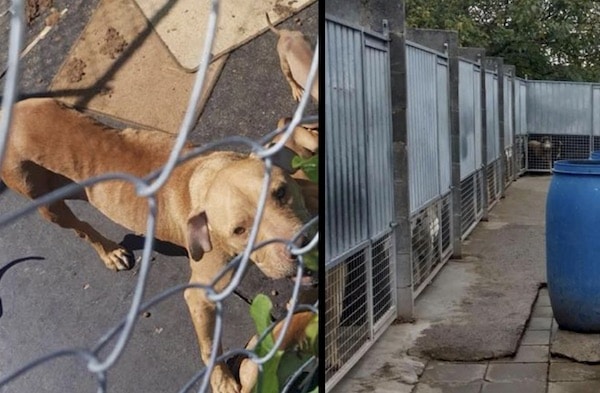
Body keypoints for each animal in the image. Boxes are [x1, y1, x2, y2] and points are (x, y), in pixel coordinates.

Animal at [3, 96, 314, 390]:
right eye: (239, 230)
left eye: (281, 192)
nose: (300, 245)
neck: (210, 175)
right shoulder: (201, 295)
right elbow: (209, 347)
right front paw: (221, 380)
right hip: (47, 205)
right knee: (81, 228)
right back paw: (109, 252)